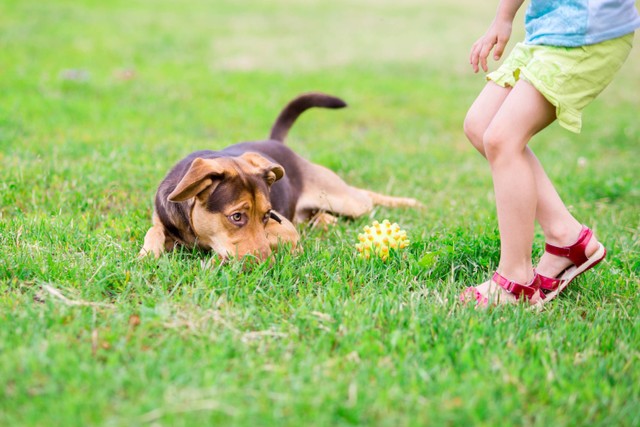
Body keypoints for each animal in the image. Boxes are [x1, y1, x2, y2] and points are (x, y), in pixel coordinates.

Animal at [139, 92, 420, 262]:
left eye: (267, 215)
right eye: (237, 217)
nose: (265, 264)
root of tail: (277, 143)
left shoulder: (285, 229)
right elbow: (154, 231)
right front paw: (147, 254)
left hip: (344, 200)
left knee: (365, 197)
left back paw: (410, 203)